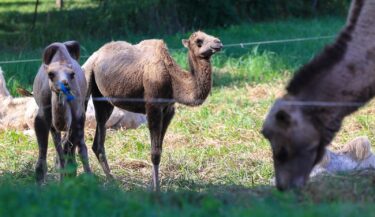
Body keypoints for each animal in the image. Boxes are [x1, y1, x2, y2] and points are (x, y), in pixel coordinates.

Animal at [33, 40, 92, 183]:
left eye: (72, 74)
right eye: (50, 74)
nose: (64, 84)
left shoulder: (77, 117)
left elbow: (70, 148)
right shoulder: (43, 118)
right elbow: (45, 157)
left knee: (79, 147)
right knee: (60, 149)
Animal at [83, 31, 222, 190]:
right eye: (199, 41)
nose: (218, 42)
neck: (172, 78)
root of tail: (94, 56)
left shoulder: (168, 110)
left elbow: (159, 149)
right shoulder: (153, 107)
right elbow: (154, 153)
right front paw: (156, 189)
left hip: (104, 99)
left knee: (98, 139)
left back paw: (111, 181)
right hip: (86, 79)